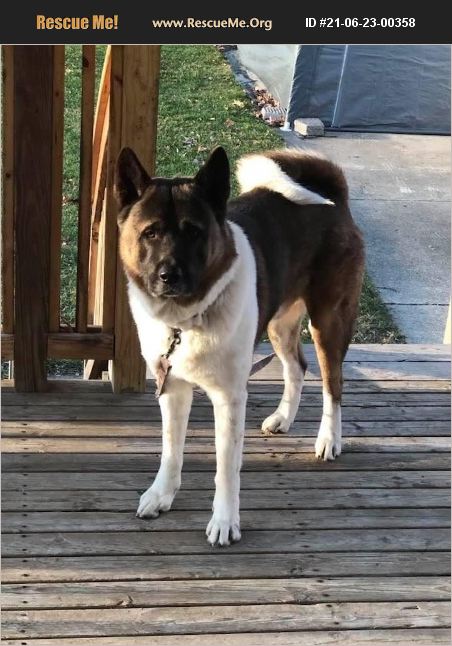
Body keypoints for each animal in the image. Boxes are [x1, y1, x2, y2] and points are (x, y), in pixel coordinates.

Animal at [115, 147, 366, 548]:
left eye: (194, 232)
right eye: (150, 233)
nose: (169, 275)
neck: (185, 320)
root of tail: (333, 194)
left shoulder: (229, 399)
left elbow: (226, 467)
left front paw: (224, 520)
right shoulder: (173, 389)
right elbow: (171, 449)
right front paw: (161, 494)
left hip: (328, 322)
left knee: (333, 384)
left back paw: (329, 439)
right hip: (278, 323)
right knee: (297, 367)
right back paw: (283, 418)